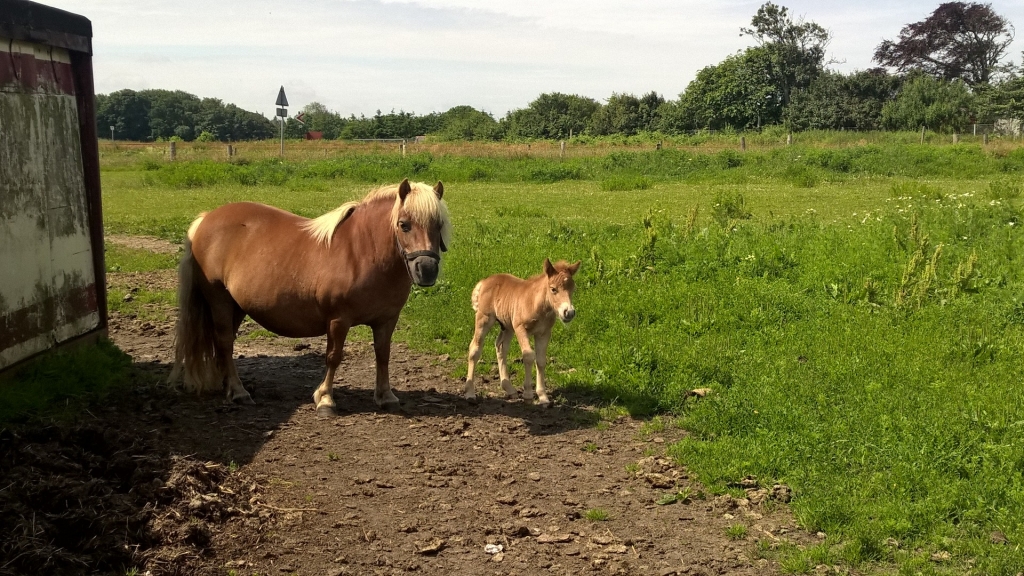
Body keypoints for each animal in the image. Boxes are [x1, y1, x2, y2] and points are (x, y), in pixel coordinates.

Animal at [169, 179, 450, 412]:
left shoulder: (386, 320)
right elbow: (333, 357)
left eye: (439, 225)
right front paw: (325, 398)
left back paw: (228, 386)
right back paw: (239, 392)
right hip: (219, 301)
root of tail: (206, 219)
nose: (426, 270)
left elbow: (383, 354)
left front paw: (385, 396)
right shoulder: (338, 320)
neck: (361, 253)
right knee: (225, 343)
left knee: (222, 346)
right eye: (404, 225)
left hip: (236, 306)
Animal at [466, 256, 581, 403]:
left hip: (507, 325)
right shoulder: (520, 328)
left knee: (501, 347)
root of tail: (484, 281)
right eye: (553, 289)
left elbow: (541, 360)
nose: (569, 313)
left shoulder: (543, 333)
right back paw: (470, 392)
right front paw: (527, 393)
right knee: (475, 348)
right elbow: (528, 355)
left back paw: (509, 389)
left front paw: (543, 396)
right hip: (484, 319)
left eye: (573, 288)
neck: (536, 303)